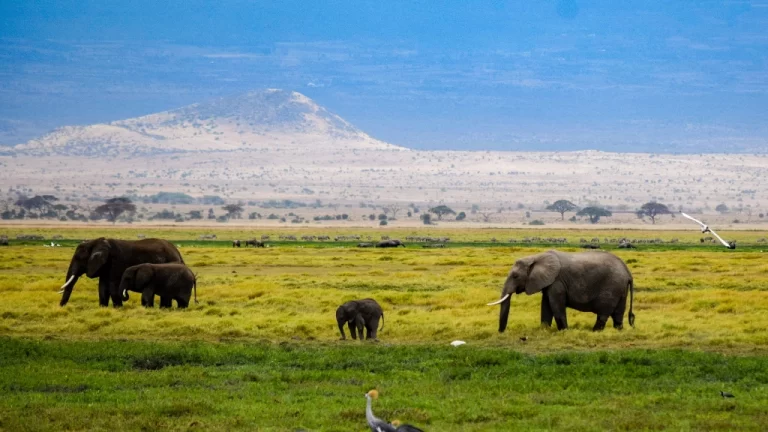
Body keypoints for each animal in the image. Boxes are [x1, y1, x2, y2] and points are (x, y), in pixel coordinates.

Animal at [488, 250, 632, 330]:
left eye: (515, 276)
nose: (501, 332)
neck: (536, 257)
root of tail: (628, 273)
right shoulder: (548, 282)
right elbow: (546, 305)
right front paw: (544, 330)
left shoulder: (557, 282)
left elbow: (556, 306)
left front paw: (564, 331)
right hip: (620, 288)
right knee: (618, 314)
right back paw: (618, 331)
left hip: (611, 286)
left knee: (603, 313)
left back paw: (595, 331)